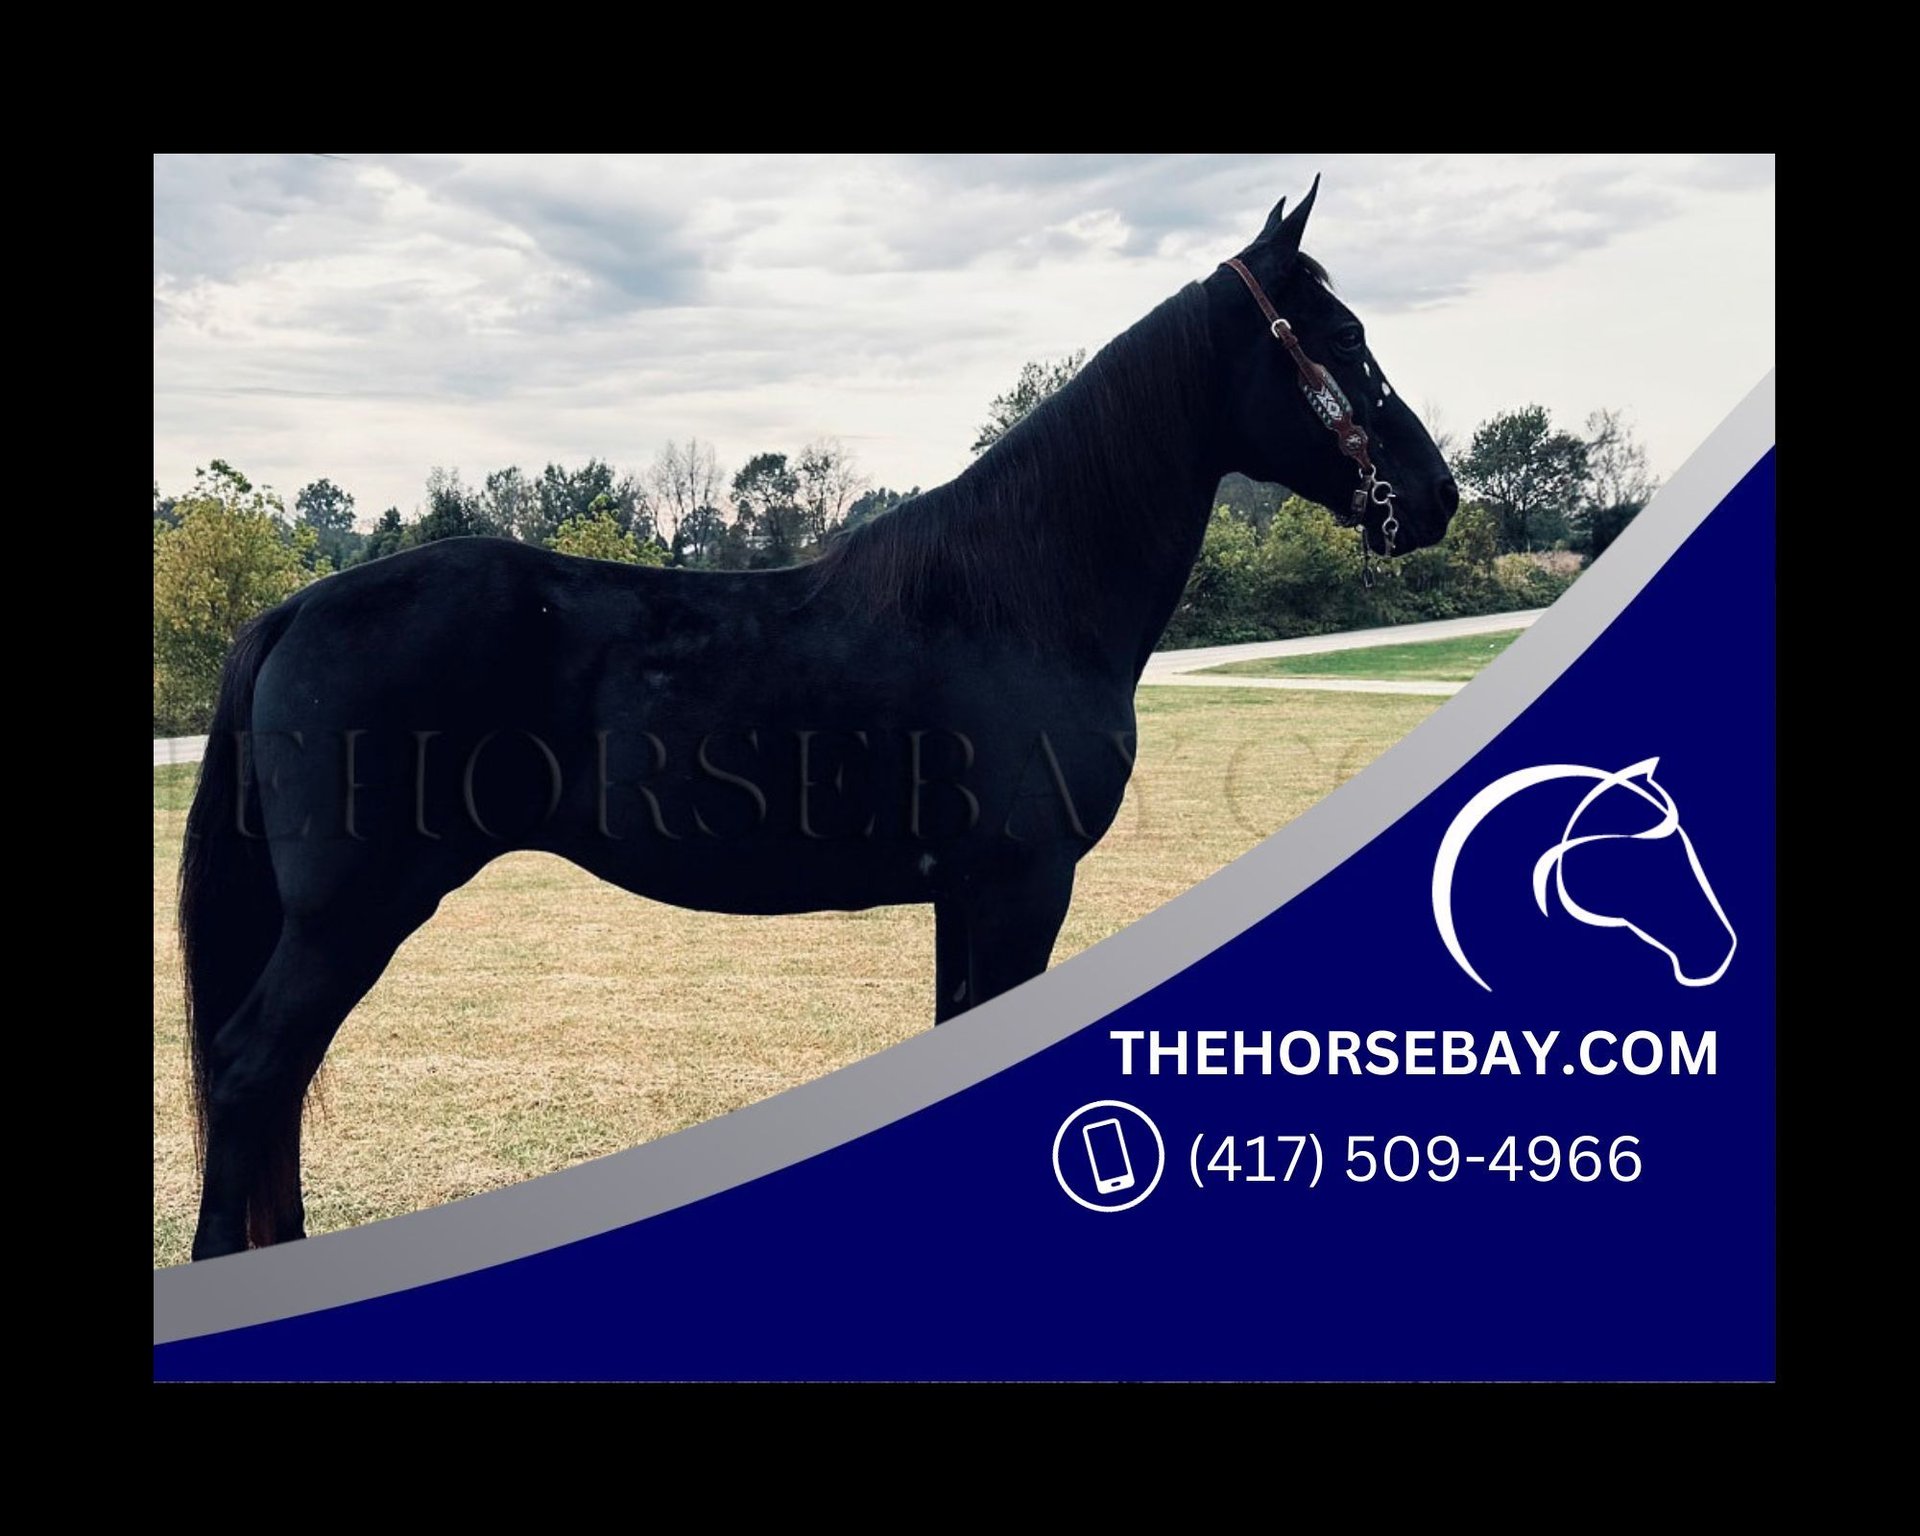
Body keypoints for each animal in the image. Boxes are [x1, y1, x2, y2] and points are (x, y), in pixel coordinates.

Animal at [179, 177, 1460, 1259]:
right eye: (1346, 341)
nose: (1436, 496)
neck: (1017, 597)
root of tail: (296, 606)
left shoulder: (967, 893)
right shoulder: (1022, 884)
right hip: (352, 914)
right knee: (250, 1074)